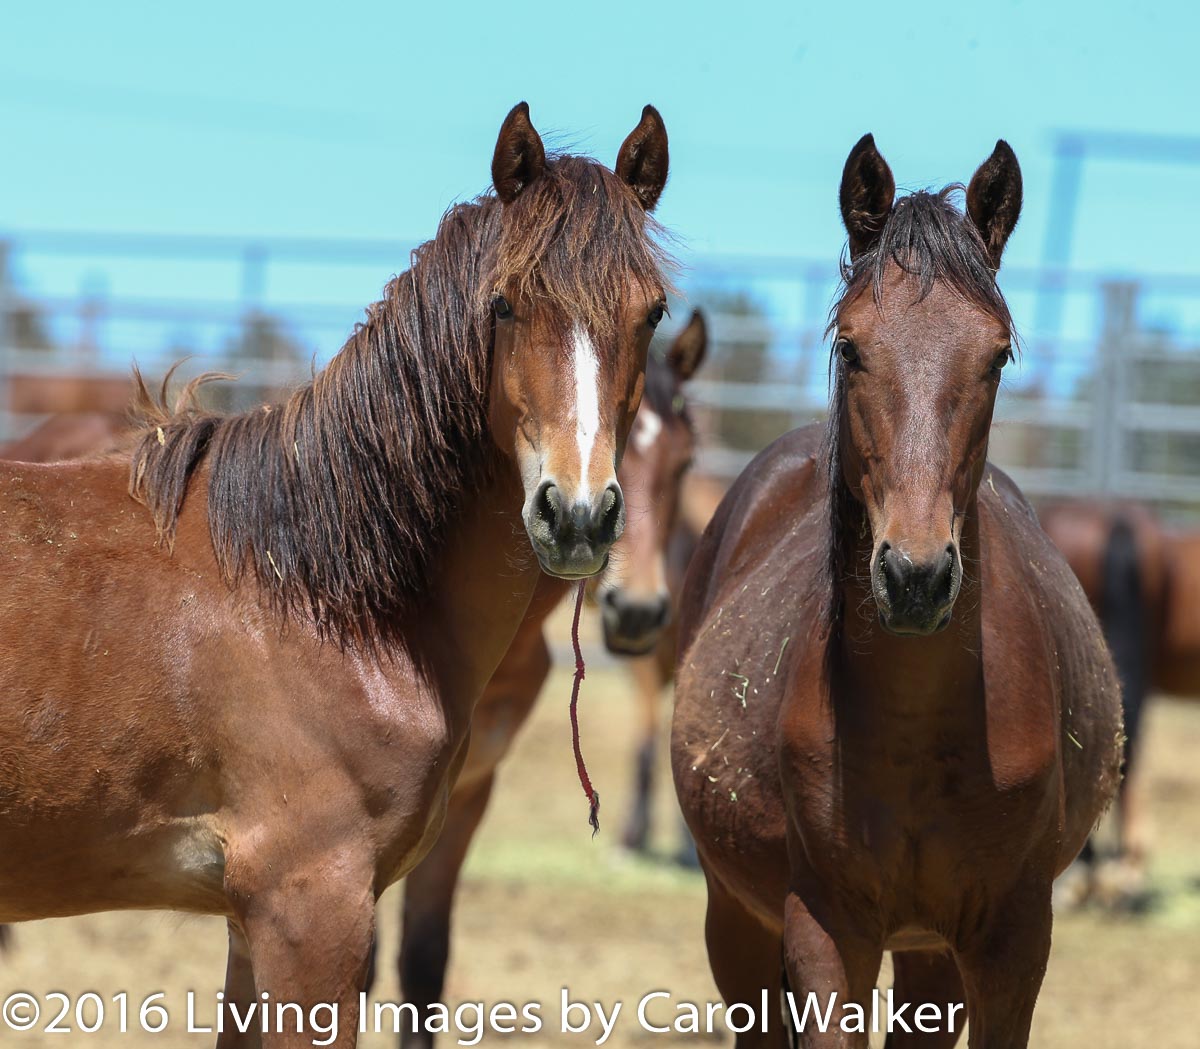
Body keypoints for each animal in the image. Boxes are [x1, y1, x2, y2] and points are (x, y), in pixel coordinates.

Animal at [2, 100, 676, 1046]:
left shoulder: (259, 925)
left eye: (652, 312)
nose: (577, 515)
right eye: (504, 302)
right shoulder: (310, 912)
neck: (320, 591)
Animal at [672, 136, 1118, 1046]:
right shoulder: (824, 930)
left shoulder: (1013, 937)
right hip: (736, 918)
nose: (915, 576)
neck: (917, 726)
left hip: (929, 952)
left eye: (997, 354)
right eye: (850, 346)